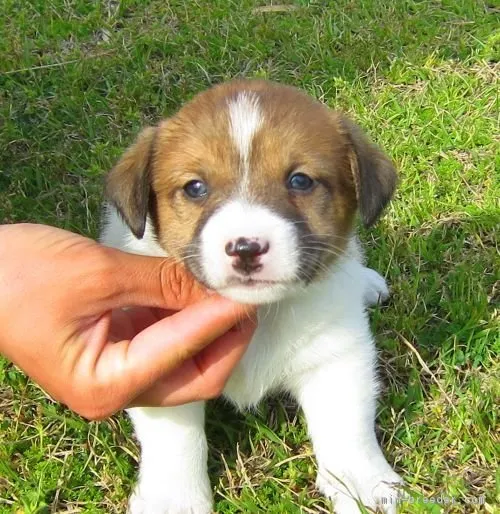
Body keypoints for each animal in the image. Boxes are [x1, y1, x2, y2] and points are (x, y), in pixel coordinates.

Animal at [100, 78, 402, 510]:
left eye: (300, 181)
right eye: (195, 188)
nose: (245, 248)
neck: (261, 314)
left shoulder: (337, 359)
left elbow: (348, 430)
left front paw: (365, 485)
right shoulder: (161, 369)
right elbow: (175, 441)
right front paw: (173, 498)